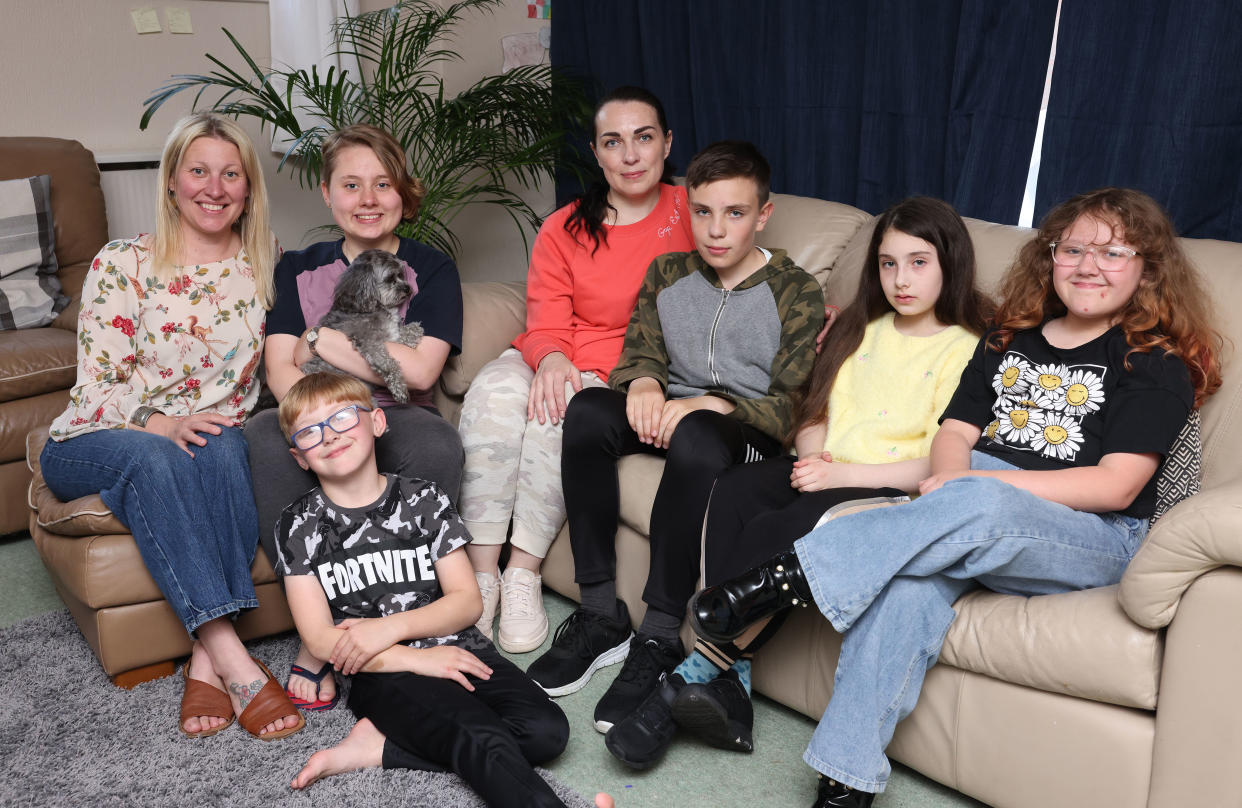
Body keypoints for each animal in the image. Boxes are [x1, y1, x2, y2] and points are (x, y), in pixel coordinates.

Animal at [299, 249, 422, 404]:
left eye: (400, 275)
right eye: (390, 279)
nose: (408, 288)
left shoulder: (389, 335)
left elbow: (401, 333)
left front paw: (414, 331)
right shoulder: (369, 343)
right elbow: (388, 364)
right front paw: (399, 388)